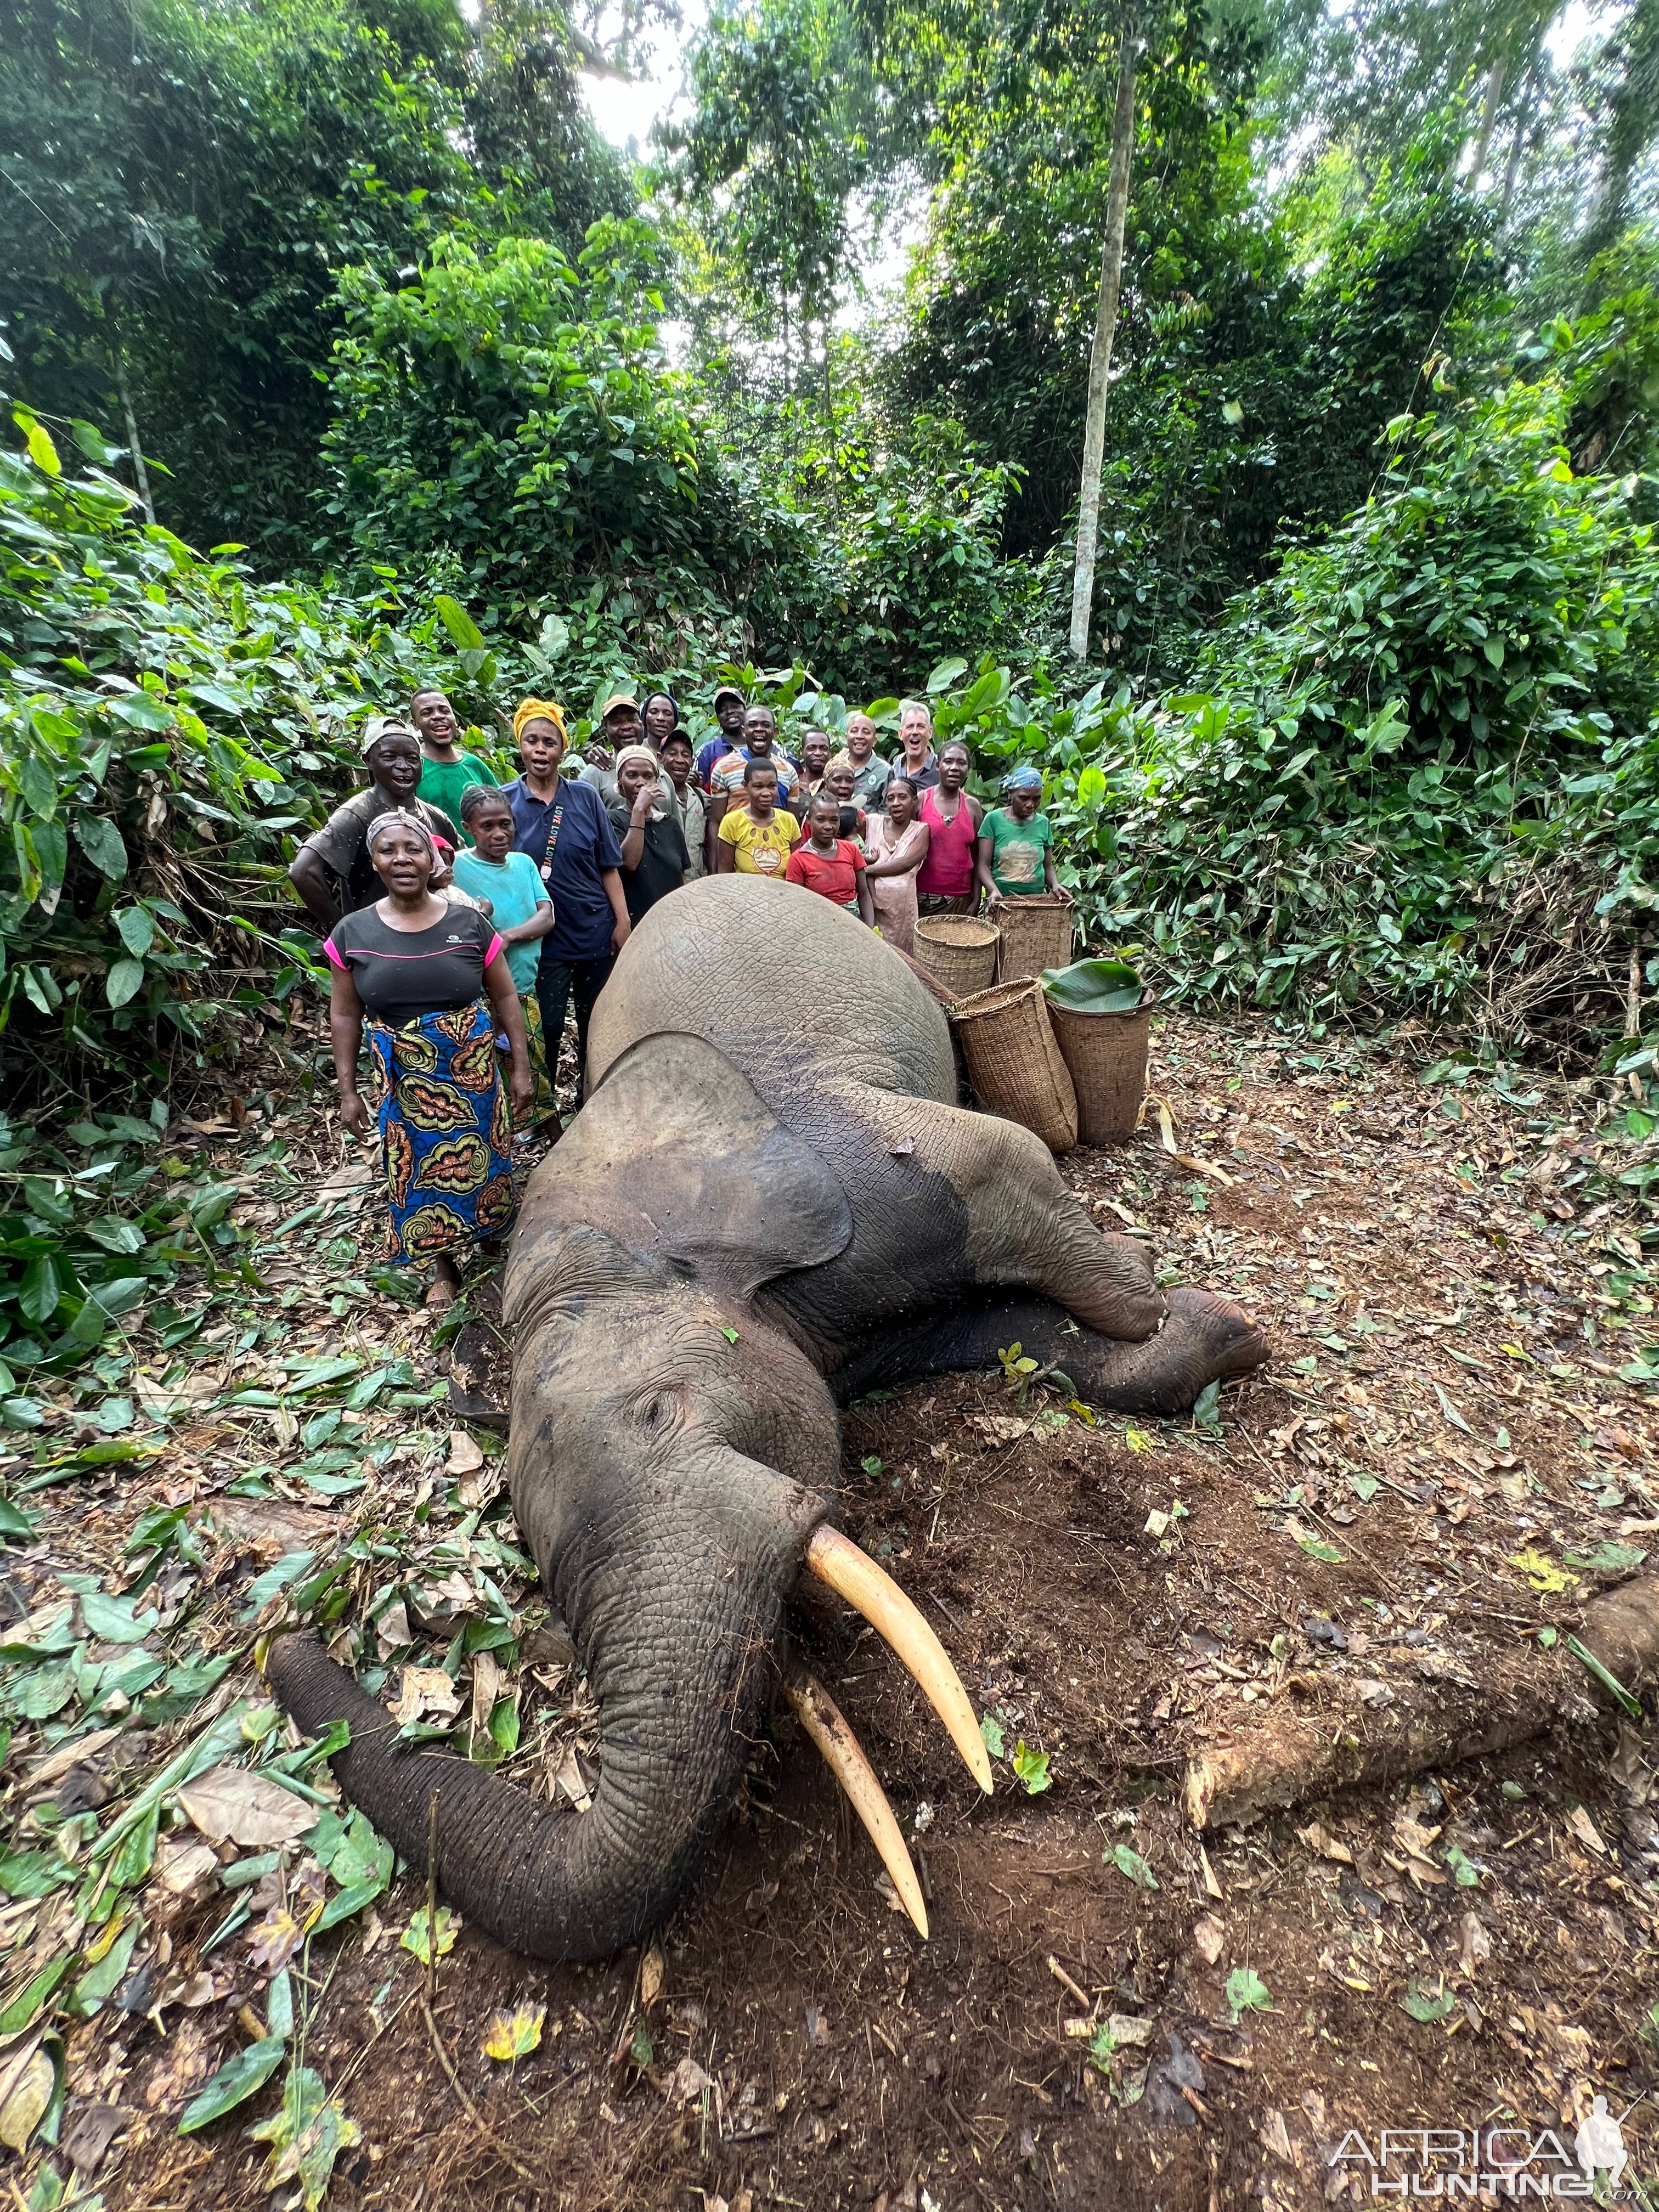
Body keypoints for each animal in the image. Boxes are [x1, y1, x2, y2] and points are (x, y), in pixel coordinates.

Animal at [273, 871, 1265, 1964]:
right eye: (533, 1556)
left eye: (659, 1410)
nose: (286, 1647)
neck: (621, 1219)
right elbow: (994, 1333)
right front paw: (1213, 1331)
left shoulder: (864, 1159)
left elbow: (998, 1166)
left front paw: (1172, 1303)